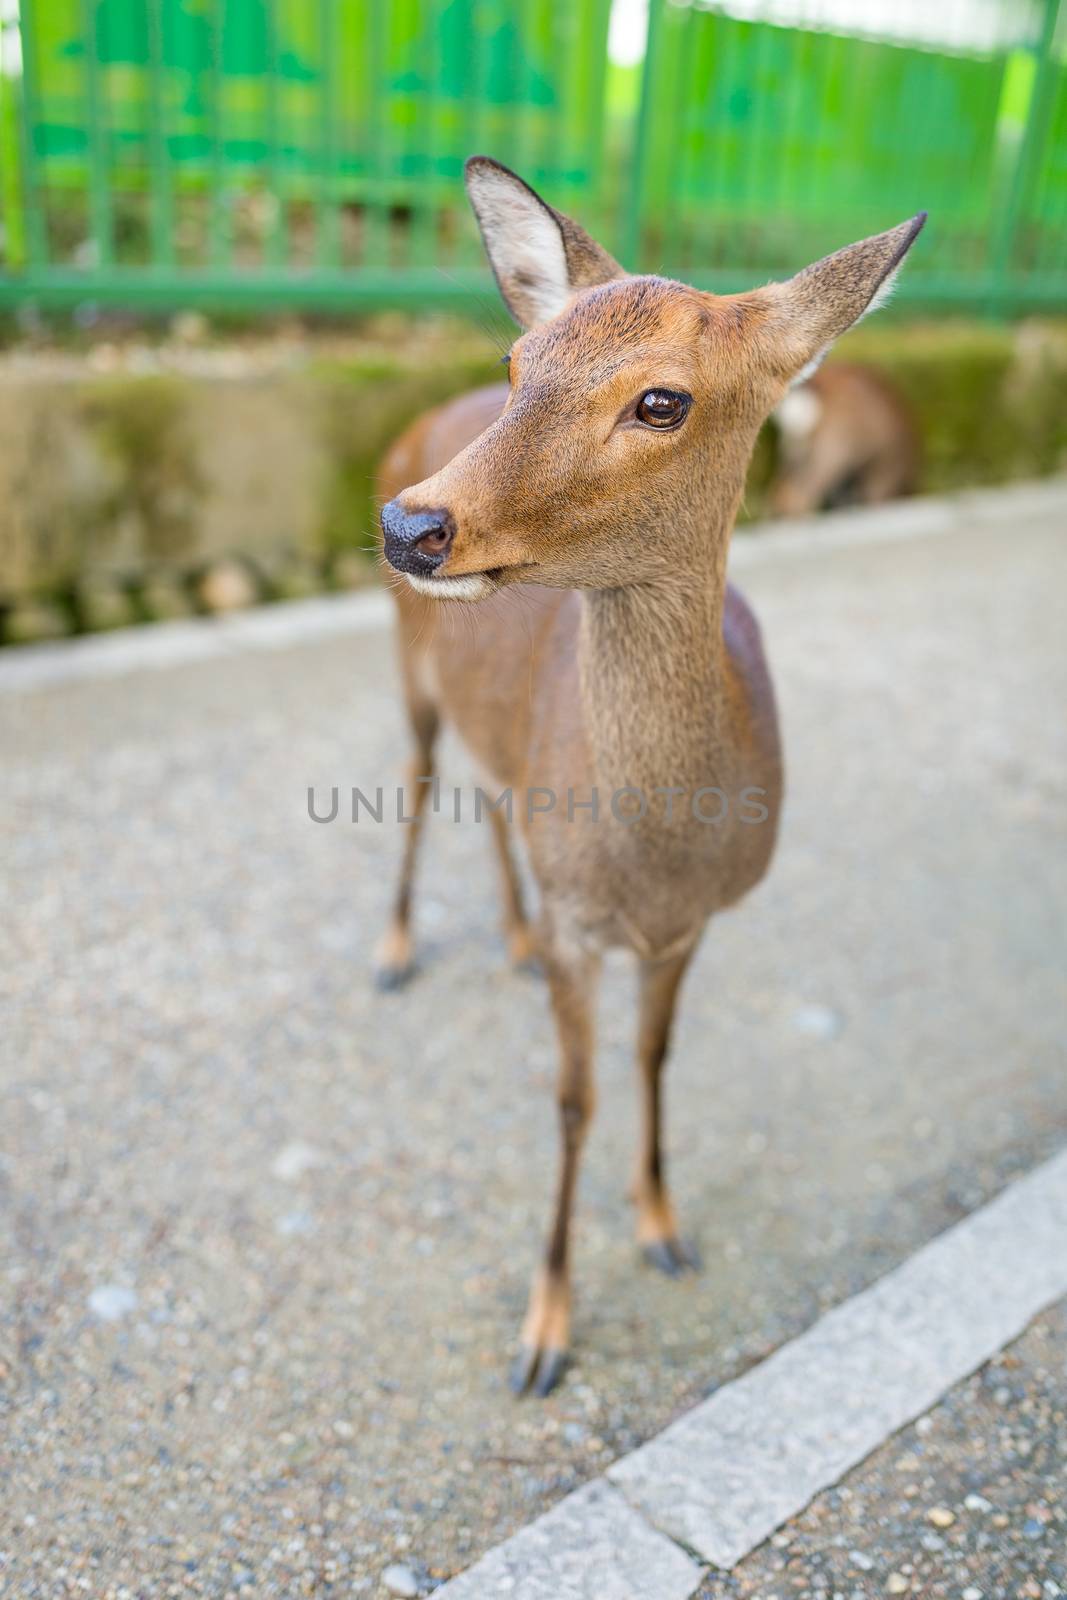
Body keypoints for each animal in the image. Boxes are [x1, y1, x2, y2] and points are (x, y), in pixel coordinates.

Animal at [375, 156, 927, 1395]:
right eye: (517, 363)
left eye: (661, 401)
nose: (410, 524)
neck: (652, 860)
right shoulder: (590, 926)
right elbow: (572, 1097)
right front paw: (542, 1333)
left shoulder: (693, 922)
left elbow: (654, 1056)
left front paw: (663, 1227)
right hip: (404, 659)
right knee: (423, 776)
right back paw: (393, 950)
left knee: (488, 790)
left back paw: (509, 937)